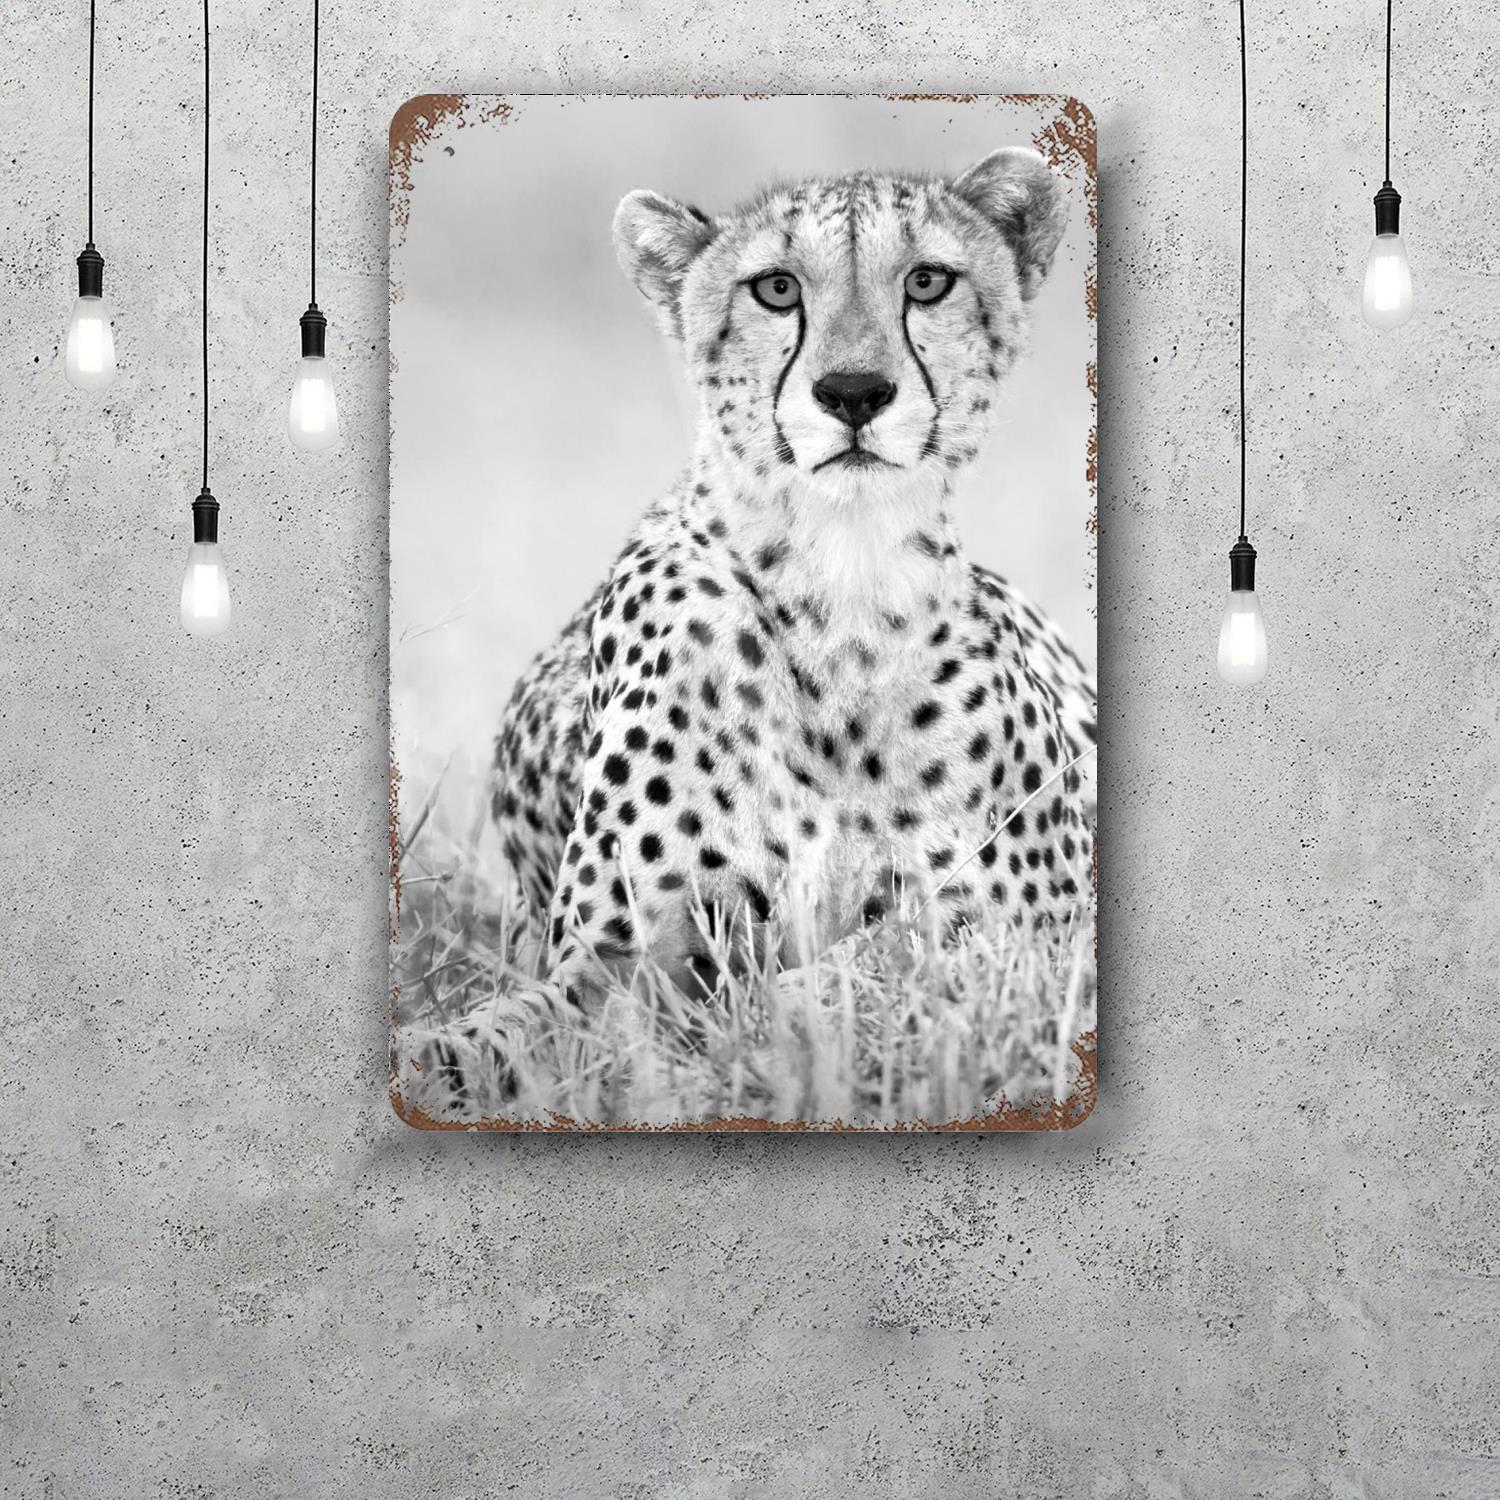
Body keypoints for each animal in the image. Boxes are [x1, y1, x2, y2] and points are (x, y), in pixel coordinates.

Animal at [412, 148, 1096, 1108]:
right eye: (777, 289)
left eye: (927, 281)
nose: (853, 393)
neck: (841, 580)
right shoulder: (613, 960)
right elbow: (497, 1035)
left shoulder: (1037, 928)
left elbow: (863, 967)